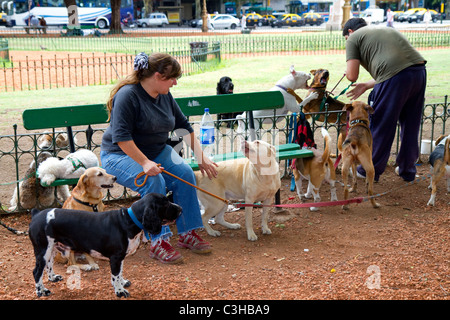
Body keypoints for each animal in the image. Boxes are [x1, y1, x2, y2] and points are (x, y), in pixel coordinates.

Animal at [28, 194, 181, 298]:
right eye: (166, 204)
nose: (180, 208)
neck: (128, 220)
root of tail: (36, 214)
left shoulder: (120, 257)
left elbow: (120, 273)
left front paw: (122, 283)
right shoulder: (115, 258)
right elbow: (115, 275)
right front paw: (119, 291)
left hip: (52, 249)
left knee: (48, 266)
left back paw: (53, 278)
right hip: (43, 250)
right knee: (36, 272)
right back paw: (42, 291)